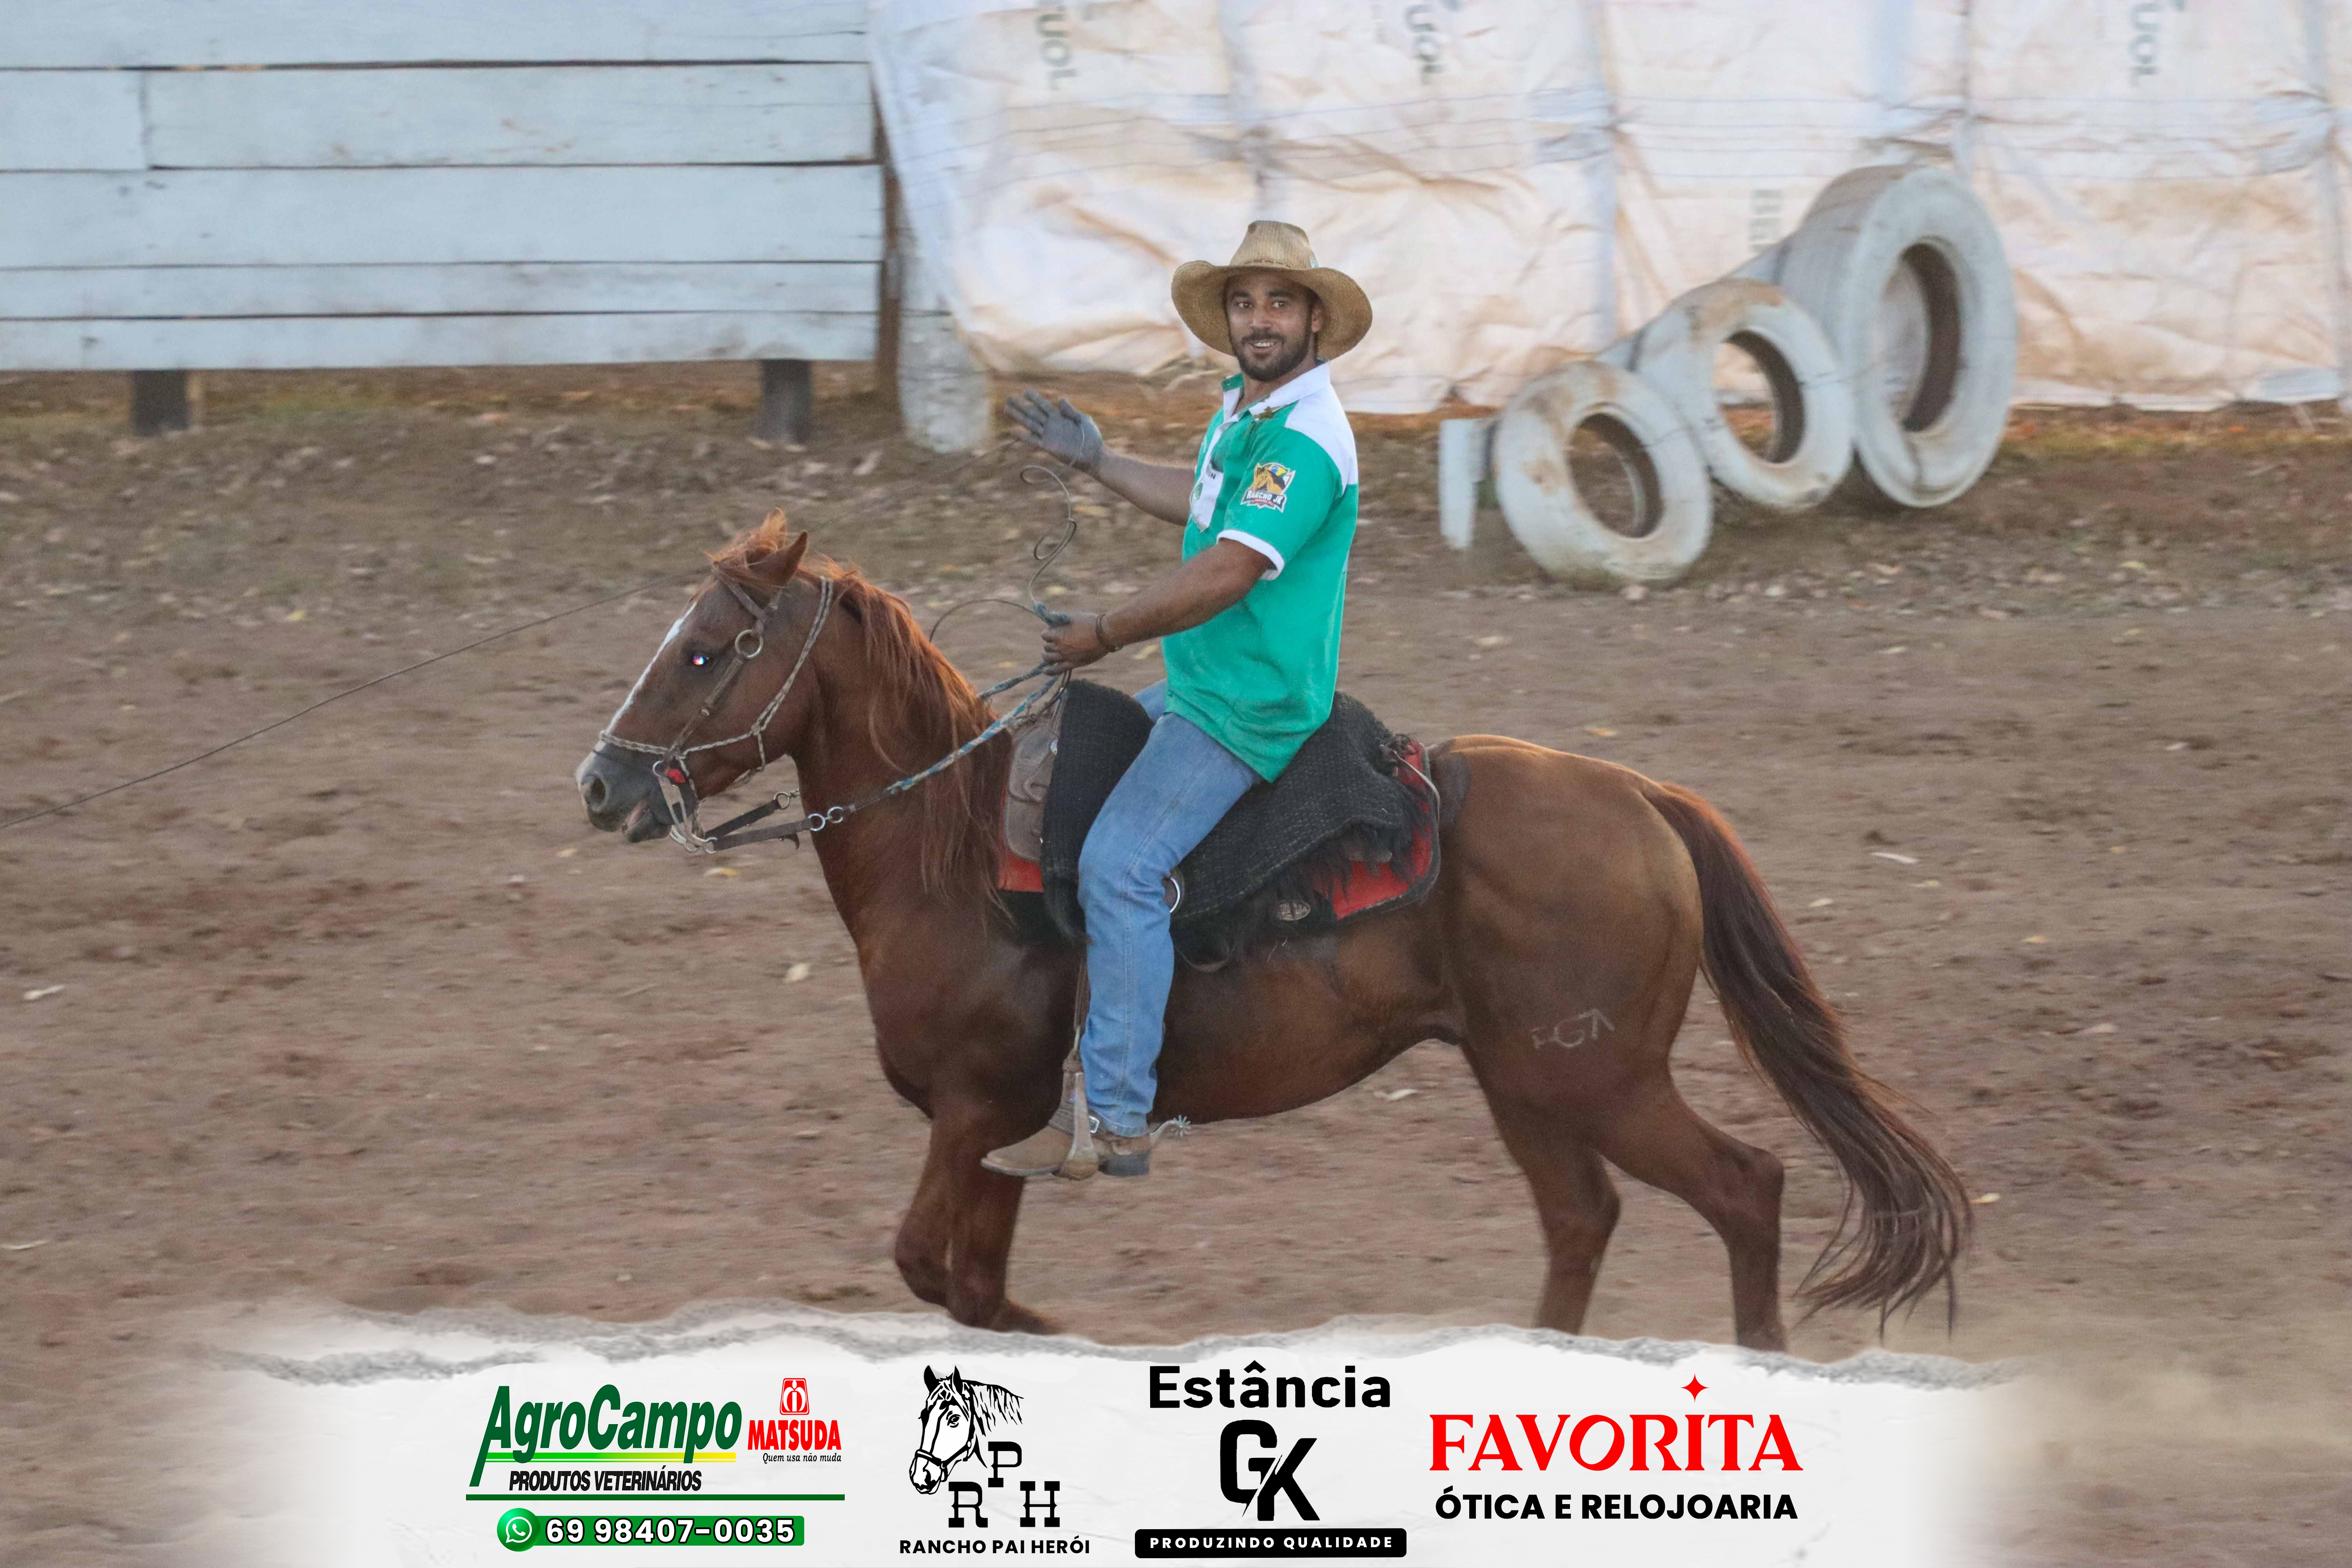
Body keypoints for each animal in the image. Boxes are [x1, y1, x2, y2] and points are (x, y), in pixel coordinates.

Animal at [573, 515, 1970, 1352]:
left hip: (1596, 1075)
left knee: (1745, 1186)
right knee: (1583, 1219)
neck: (955, 850)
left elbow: (933, 1265)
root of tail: (1641, 796)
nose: (600, 783)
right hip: (1524, 1079)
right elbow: (961, 1286)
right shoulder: (1001, 1134)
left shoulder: (977, 1111)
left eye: (706, 651)